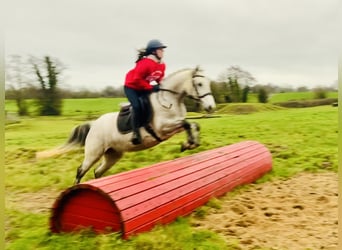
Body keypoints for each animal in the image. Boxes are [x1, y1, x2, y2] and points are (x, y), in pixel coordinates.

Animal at [36, 66, 214, 184]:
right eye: (199, 84)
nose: (211, 107)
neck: (171, 99)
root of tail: (93, 125)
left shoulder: (173, 125)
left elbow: (192, 124)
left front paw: (189, 144)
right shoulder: (162, 127)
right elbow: (187, 123)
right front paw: (188, 144)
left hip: (113, 154)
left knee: (97, 171)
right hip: (94, 153)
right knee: (81, 170)